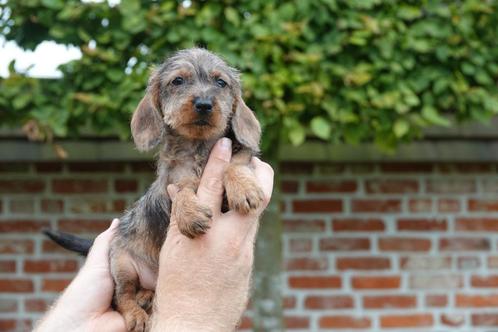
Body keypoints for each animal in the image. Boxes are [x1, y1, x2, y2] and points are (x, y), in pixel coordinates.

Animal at [45, 47, 264, 332]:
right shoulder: (173, 180)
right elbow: (182, 190)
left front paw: (243, 187)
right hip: (122, 264)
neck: (199, 148)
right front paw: (188, 214)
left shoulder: (239, 155)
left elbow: (235, 162)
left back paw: (147, 296)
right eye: (178, 81)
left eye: (220, 82)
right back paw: (137, 312)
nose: (204, 104)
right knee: (122, 296)